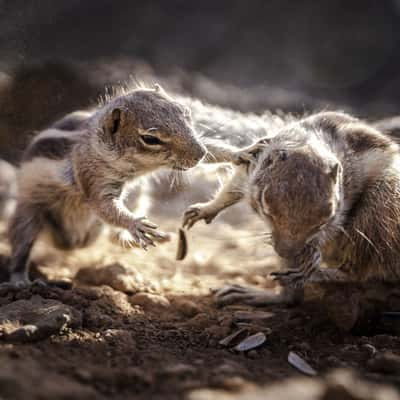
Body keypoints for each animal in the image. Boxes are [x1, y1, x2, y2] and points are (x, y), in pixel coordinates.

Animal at [6, 84, 206, 286]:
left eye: (186, 112)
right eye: (150, 139)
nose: (202, 153)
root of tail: (70, 242)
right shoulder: (91, 176)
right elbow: (104, 206)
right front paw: (135, 223)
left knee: (113, 236)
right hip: (29, 213)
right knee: (21, 245)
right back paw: (19, 280)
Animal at [184, 112, 400, 306]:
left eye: (325, 219)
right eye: (266, 206)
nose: (287, 253)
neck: (305, 144)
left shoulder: (346, 195)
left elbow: (335, 226)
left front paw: (314, 254)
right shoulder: (253, 165)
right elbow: (233, 187)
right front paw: (205, 209)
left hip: (380, 208)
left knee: (357, 272)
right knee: (292, 299)